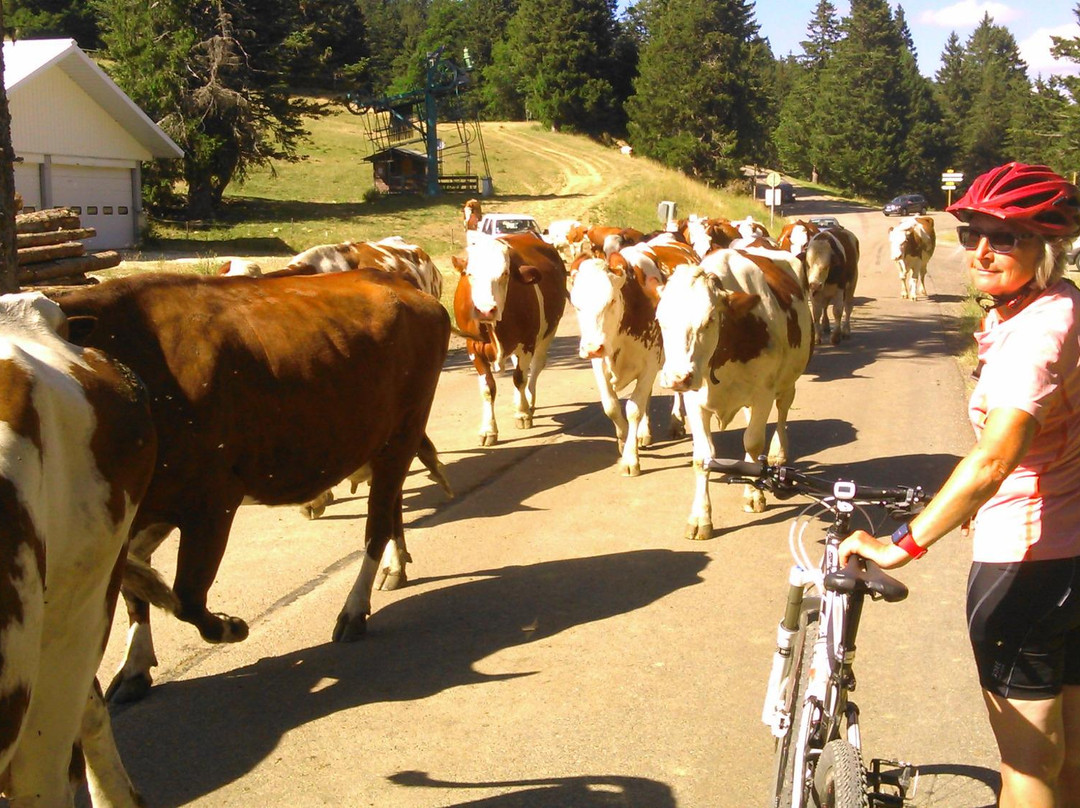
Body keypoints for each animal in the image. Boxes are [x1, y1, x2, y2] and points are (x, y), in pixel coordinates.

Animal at [53, 270, 451, 699]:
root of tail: (394, 280)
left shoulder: (213, 500)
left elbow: (185, 595)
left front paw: (230, 627)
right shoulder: (135, 513)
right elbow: (136, 587)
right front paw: (134, 668)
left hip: (404, 430)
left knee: (376, 524)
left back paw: (354, 610)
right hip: (384, 441)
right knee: (391, 505)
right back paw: (396, 567)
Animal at [449, 233, 565, 445]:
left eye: (505, 274)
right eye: (470, 274)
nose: (486, 310)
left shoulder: (527, 341)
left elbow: (520, 378)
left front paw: (522, 414)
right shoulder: (473, 347)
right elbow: (488, 388)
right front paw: (488, 430)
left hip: (548, 331)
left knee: (535, 366)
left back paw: (528, 401)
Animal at [652, 252, 812, 540]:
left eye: (709, 320)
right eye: (661, 320)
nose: (677, 377)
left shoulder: (763, 394)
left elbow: (753, 444)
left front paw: (754, 494)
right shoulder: (695, 401)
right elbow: (703, 457)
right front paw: (700, 517)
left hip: (788, 382)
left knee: (782, 412)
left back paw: (778, 453)